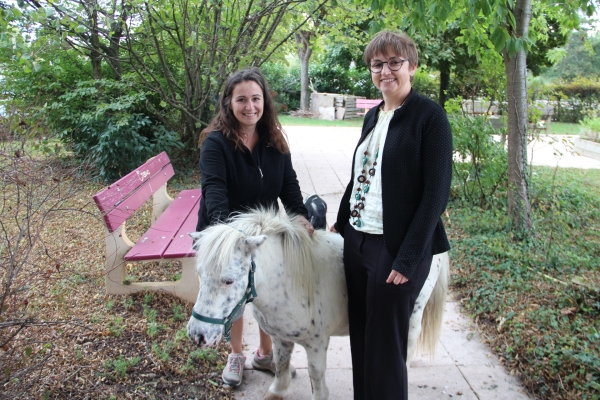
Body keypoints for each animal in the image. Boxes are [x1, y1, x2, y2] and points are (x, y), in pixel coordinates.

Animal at [189, 208, 450, 398]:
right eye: (199, 273)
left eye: (229, 280)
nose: (197, 335)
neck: (289, 281)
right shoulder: (279, 337)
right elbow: (281, 366)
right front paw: (278, 390)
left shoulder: (316, 343)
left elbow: (316, 376)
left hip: (412, 315)